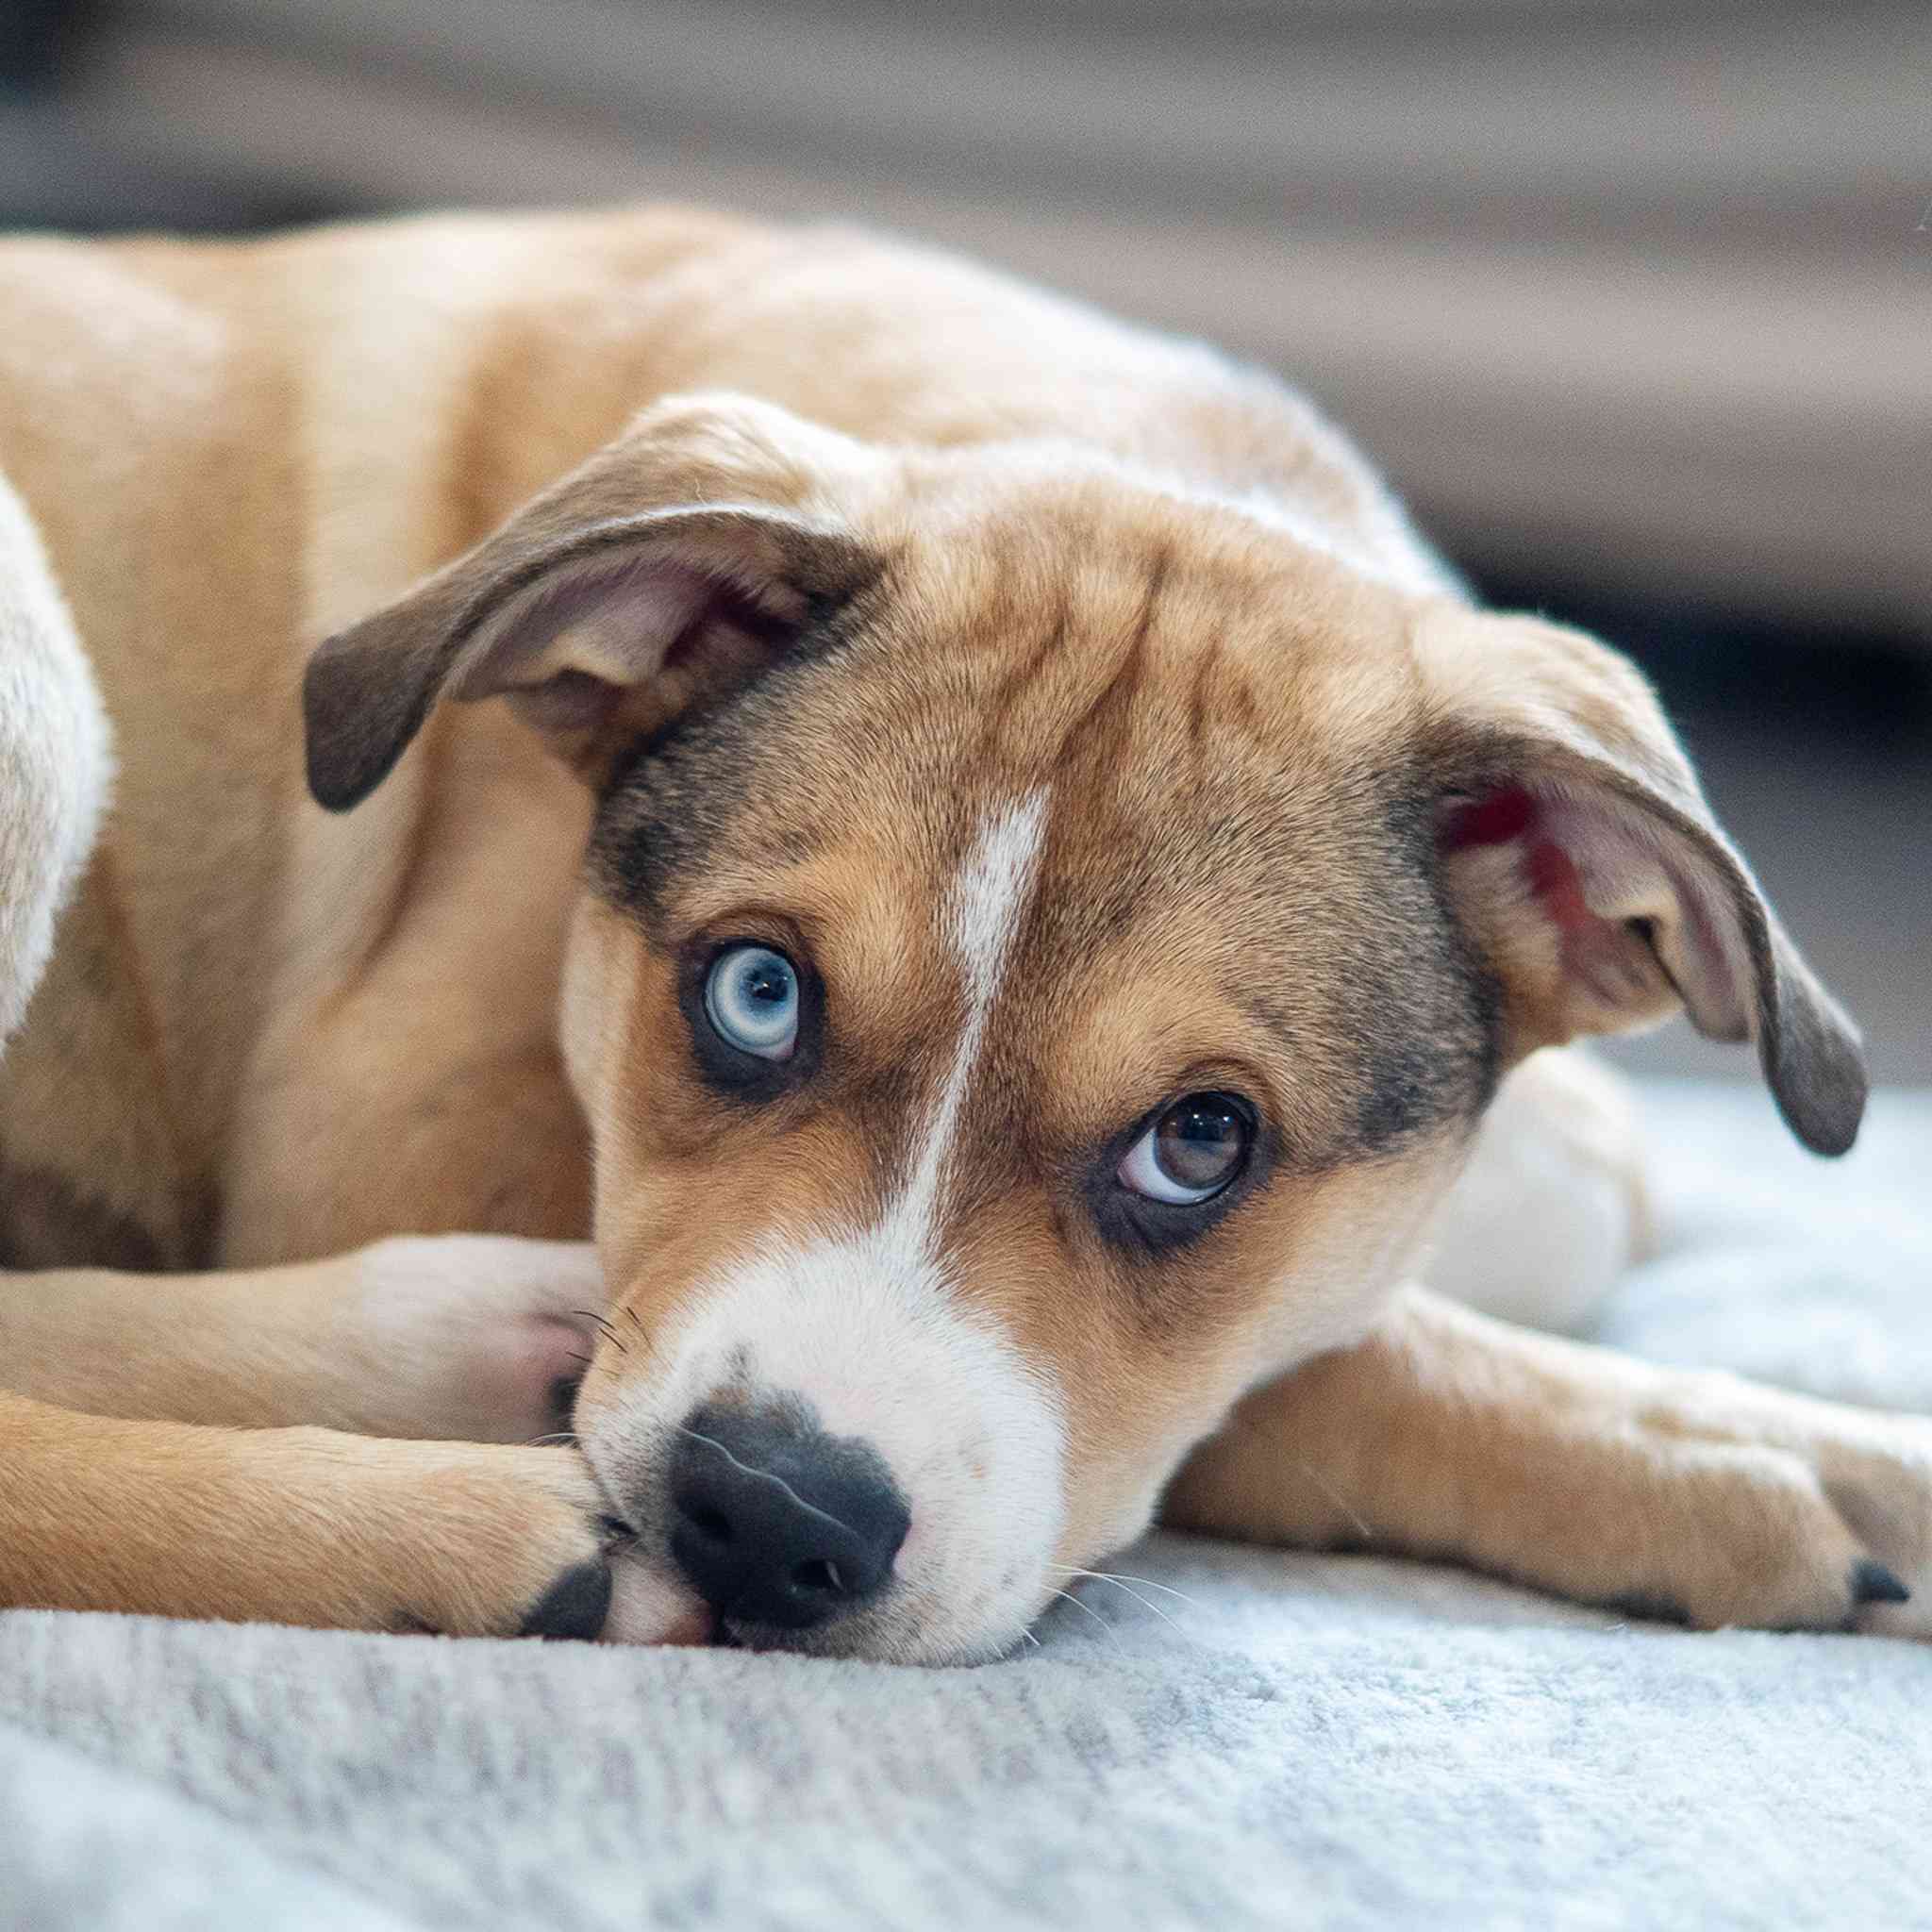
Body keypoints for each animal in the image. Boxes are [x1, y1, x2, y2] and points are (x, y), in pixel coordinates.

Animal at [1, 205, 1924, 1661]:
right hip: (45, 697)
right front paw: (1732, 1449)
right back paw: (467, 1503)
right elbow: (1319, 1371)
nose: (764, 1519)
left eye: (1203, 1139)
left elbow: (1519, 1215)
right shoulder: (392, 1133)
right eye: (755, 992)